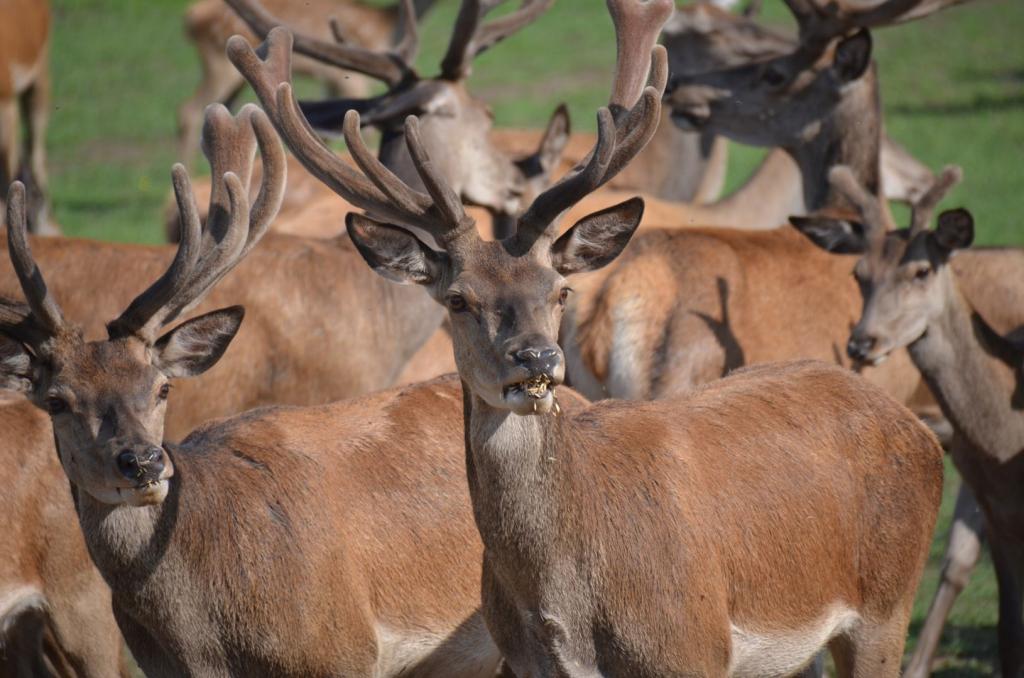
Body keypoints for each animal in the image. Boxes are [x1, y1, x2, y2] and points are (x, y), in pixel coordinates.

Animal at [177, 0, 440, 163]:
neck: (386, 30)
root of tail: (190, 17)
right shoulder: (351, 80)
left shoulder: (332, 84)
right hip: (219, 66)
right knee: (189, 110)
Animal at [230, 1, 942, 675]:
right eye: (458, 300)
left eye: (561, 291)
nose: (538, 358)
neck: (564, 605)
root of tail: (918, 433)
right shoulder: (524, 662)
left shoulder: (692, 647)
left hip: (887, 605)